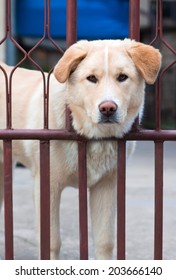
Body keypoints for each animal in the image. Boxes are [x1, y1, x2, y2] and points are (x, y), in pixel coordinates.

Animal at [0, 38, 162, 260]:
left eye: (122, 77)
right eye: (91, 78)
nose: (108, 108)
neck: (91, 136)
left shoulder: (106, 186)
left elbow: (105, 242)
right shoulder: (47, 186)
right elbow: (51, 242)